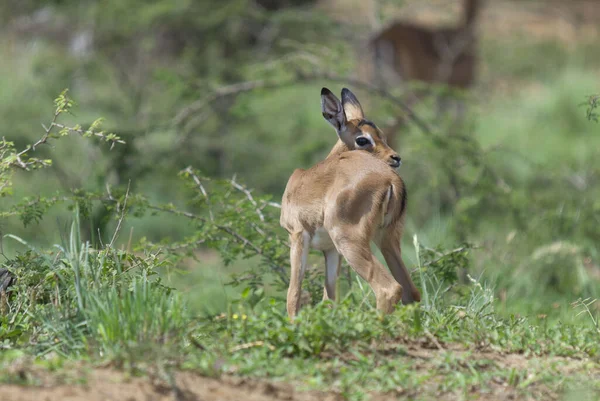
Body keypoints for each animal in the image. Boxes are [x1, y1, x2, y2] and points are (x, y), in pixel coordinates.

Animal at [278, 88, 420, 318]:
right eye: (363, 139)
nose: (396, 158)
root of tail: (391, 180)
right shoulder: (330, 249)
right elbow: (329, 298)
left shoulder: (298, 235)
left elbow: (293, 294)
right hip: (386, 239)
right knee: (410, 292)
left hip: (349, 240)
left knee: (389, 289)